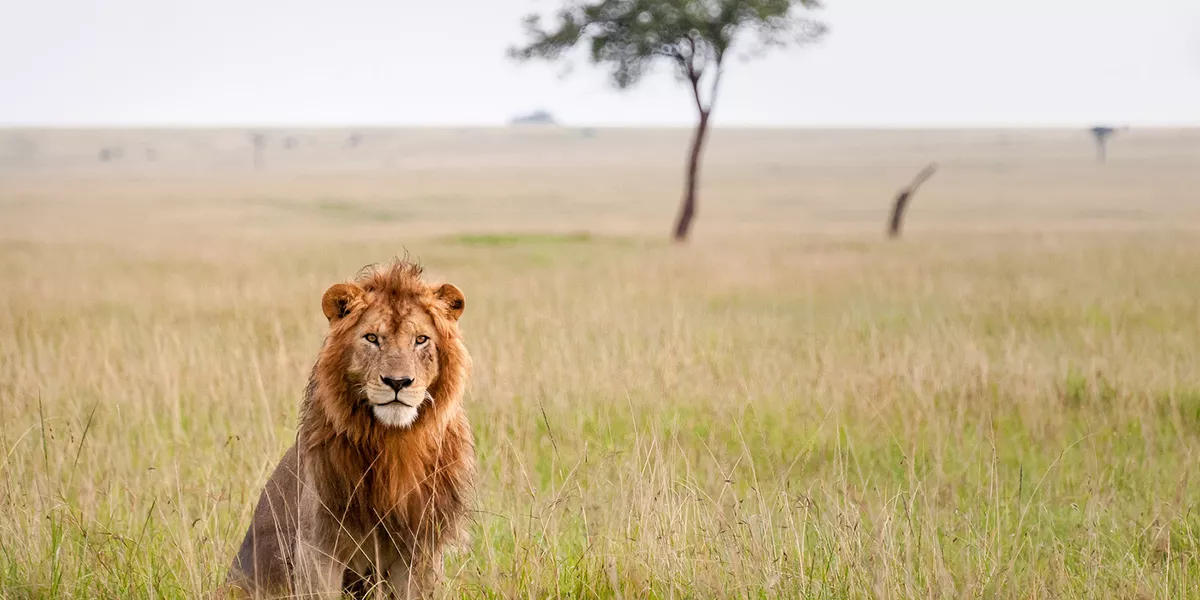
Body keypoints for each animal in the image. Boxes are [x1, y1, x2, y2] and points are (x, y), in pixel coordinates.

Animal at [222, 260, 475, 600]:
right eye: (371, 338)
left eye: (421, 339)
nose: (398, 382)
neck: (395, 443)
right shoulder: (318, 547)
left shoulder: (421, 549)